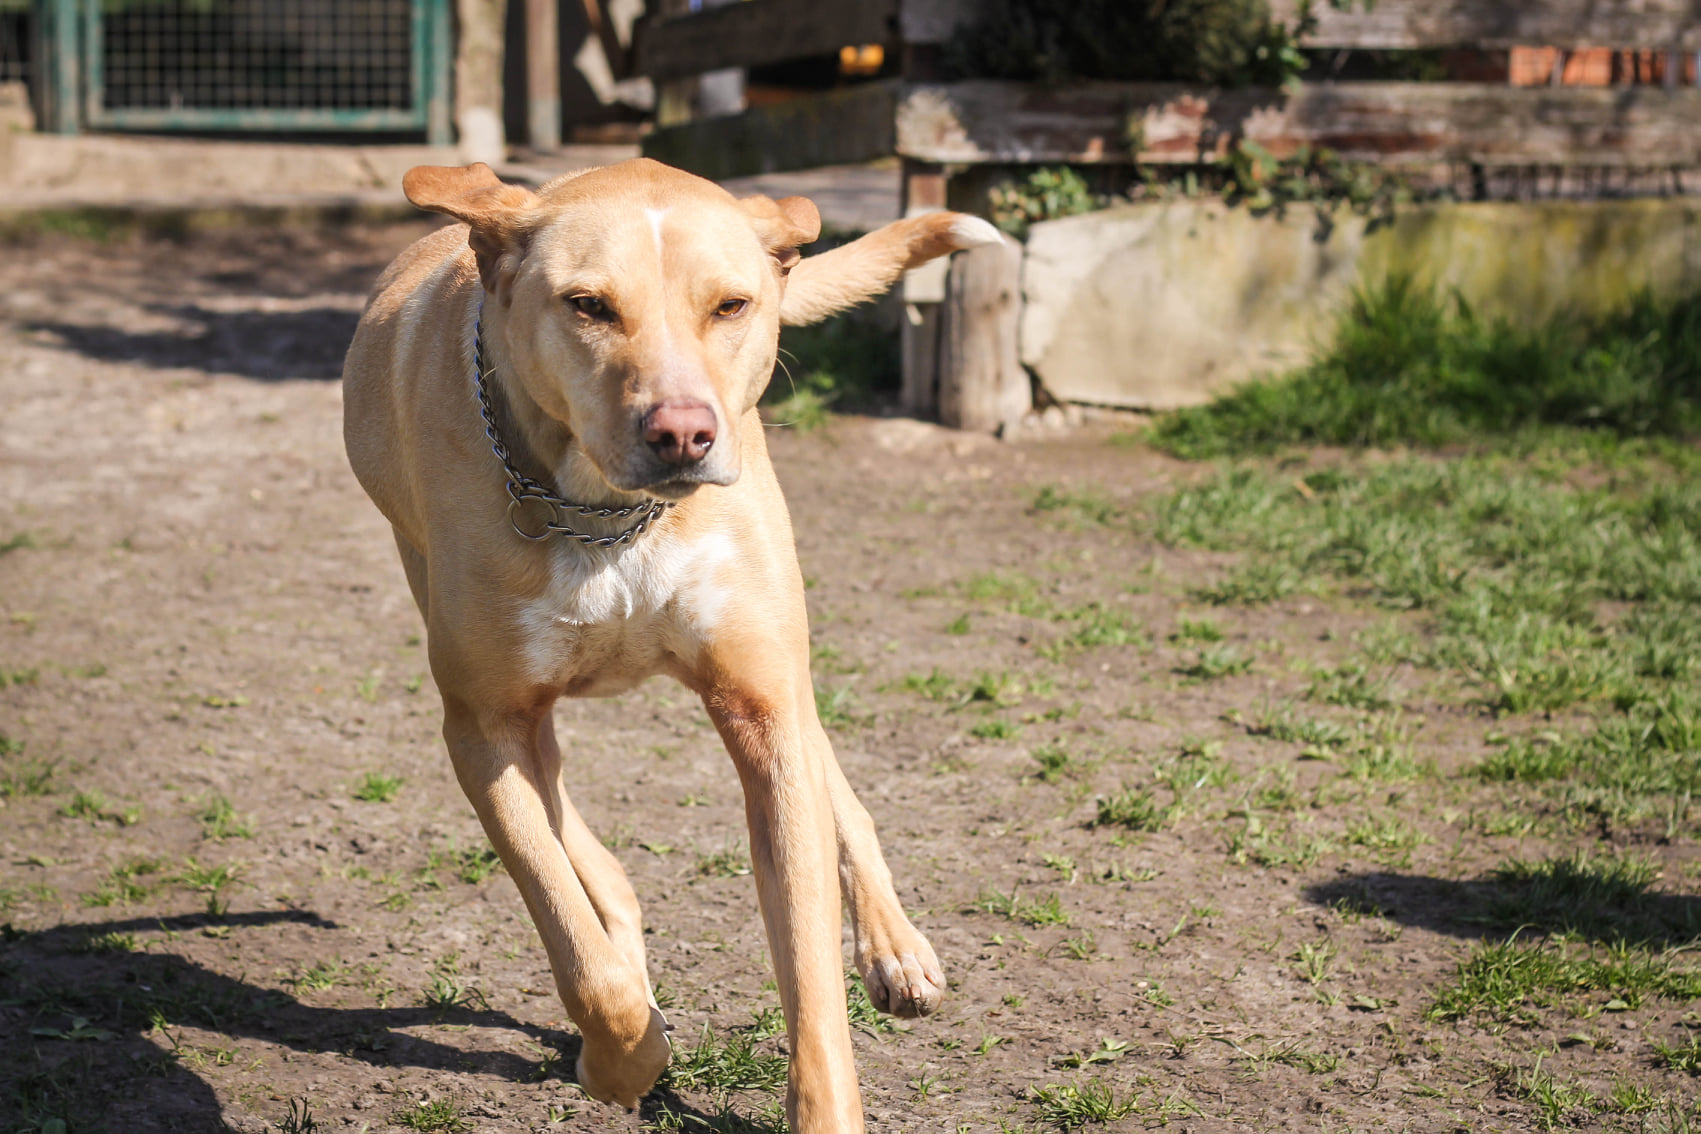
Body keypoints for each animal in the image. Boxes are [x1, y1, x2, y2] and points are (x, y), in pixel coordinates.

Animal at [343, 157, 1000, 1128]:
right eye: (587, 306)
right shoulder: (482, 727)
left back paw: (893, 946)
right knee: (585, 851)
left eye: (730, 305)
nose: (683, 432)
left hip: (781, 663)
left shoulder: (761, 706)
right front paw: (624, 1058)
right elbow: (569, 930)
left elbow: (809, 972)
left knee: (831, 785)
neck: (607, 515)